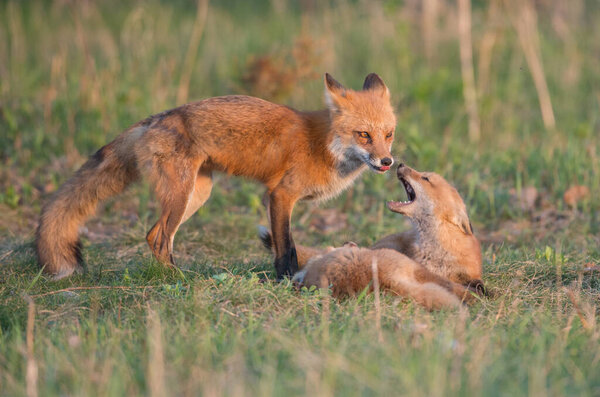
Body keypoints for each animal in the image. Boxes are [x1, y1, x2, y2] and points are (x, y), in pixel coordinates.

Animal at [35, 72, 396, 280]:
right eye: (364, 135)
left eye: (388, 134)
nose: (387, 161)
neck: (324, 144)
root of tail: (156, 118)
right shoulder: (280, 195)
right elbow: (286, 248)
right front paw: (285, 281)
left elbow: (288, 247)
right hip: (180, 195)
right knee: (159, 238)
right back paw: (178, 281)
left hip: (197, 194)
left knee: (152, 235)